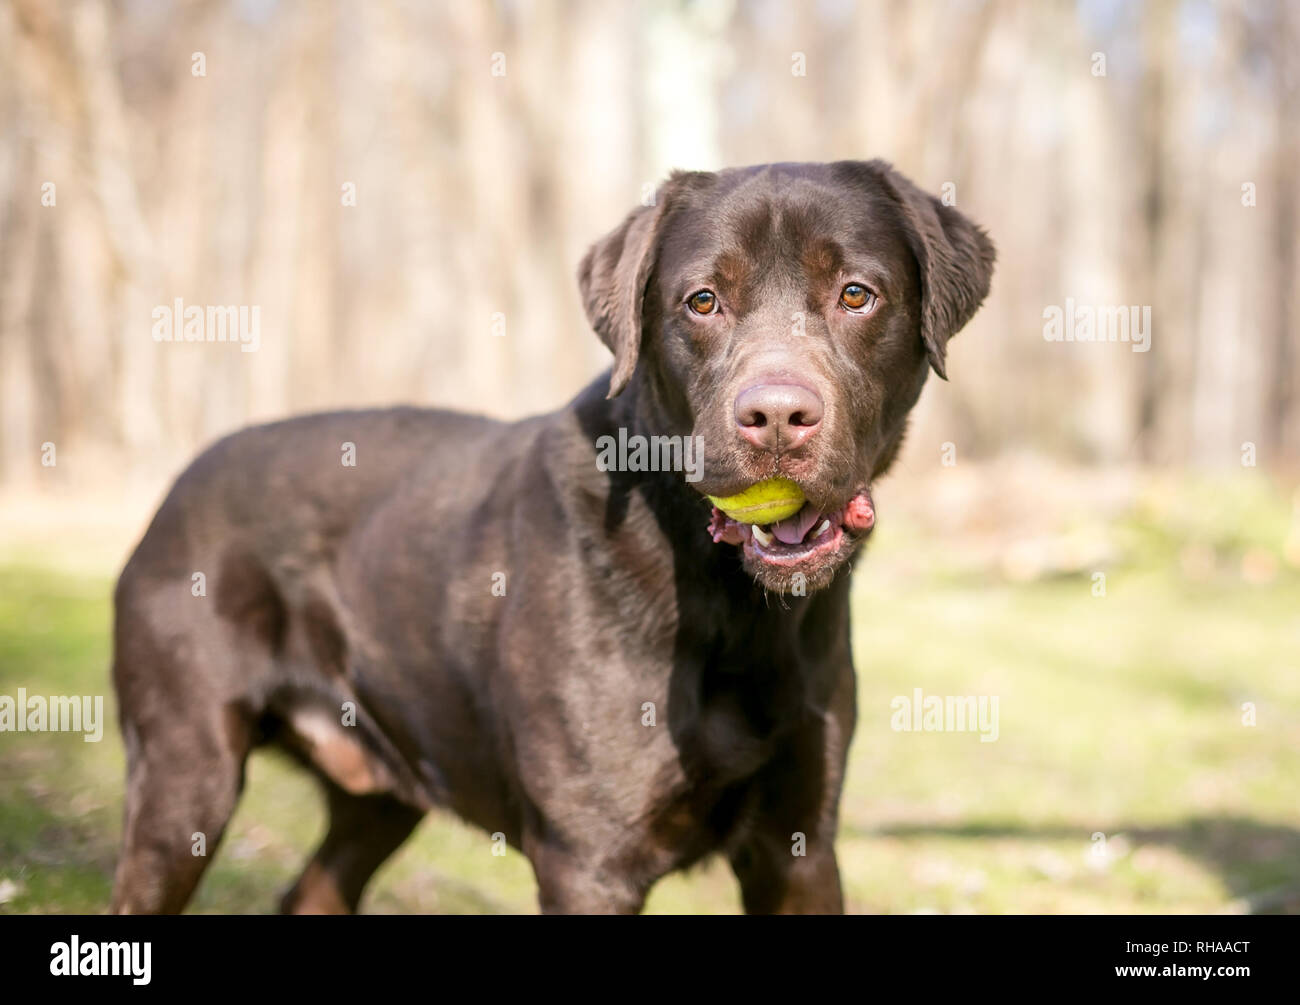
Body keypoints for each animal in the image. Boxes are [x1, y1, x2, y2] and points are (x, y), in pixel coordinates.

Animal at [111, 160, 987, 915]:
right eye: (703, 301)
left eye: (855, 294)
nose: (775, 415)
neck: (728, 597)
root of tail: (178, 483)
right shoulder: (589, 858)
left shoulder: (798, 847)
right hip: (186, 773)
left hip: (380, 789)